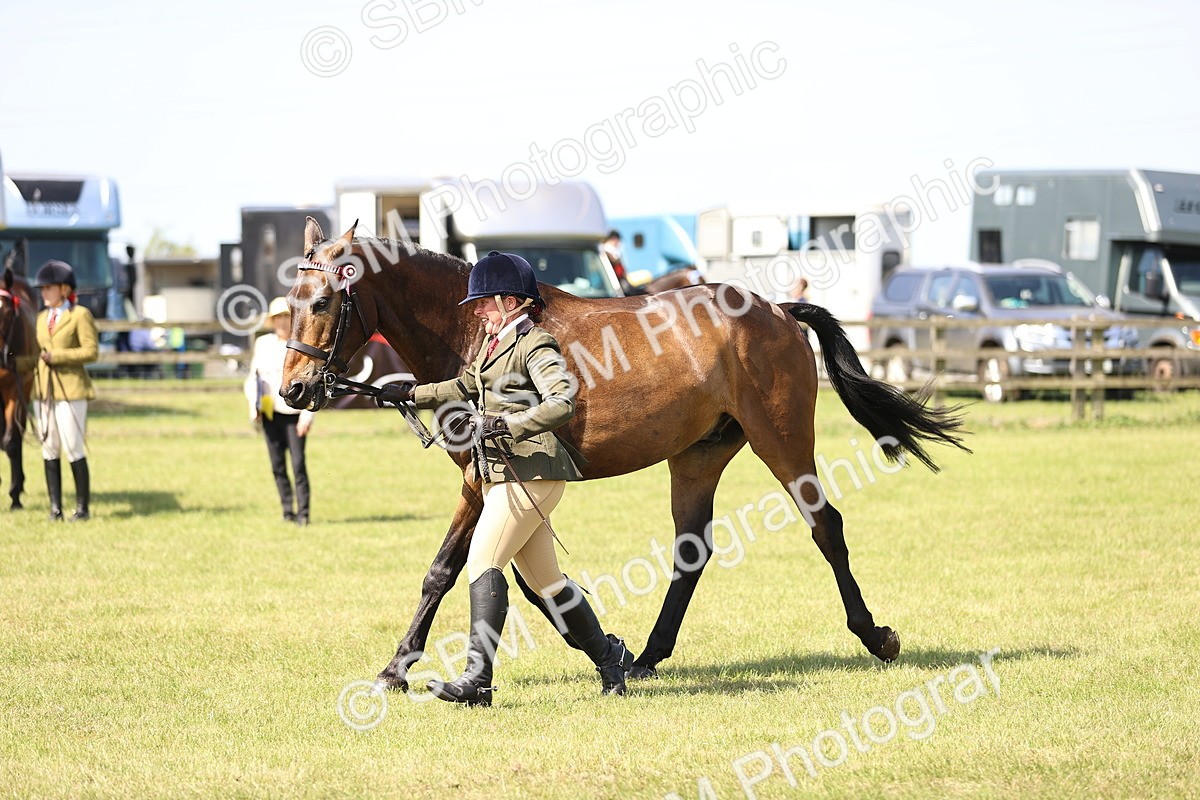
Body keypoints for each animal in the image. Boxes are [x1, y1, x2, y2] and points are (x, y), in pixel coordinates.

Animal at [281, 219, 970, 691]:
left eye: (323, 302)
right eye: (289, 302)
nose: (294, 390)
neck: (474, 331)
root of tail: (776, 309)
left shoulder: (482, 480)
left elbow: (445, 571)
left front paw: (396, 667)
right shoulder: (503, 483)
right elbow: (526, 582)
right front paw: (603, 647)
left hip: (783, 440)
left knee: (825, 526)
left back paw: (876, 636)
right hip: (697, 457)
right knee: (692, 552)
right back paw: (646, 656)